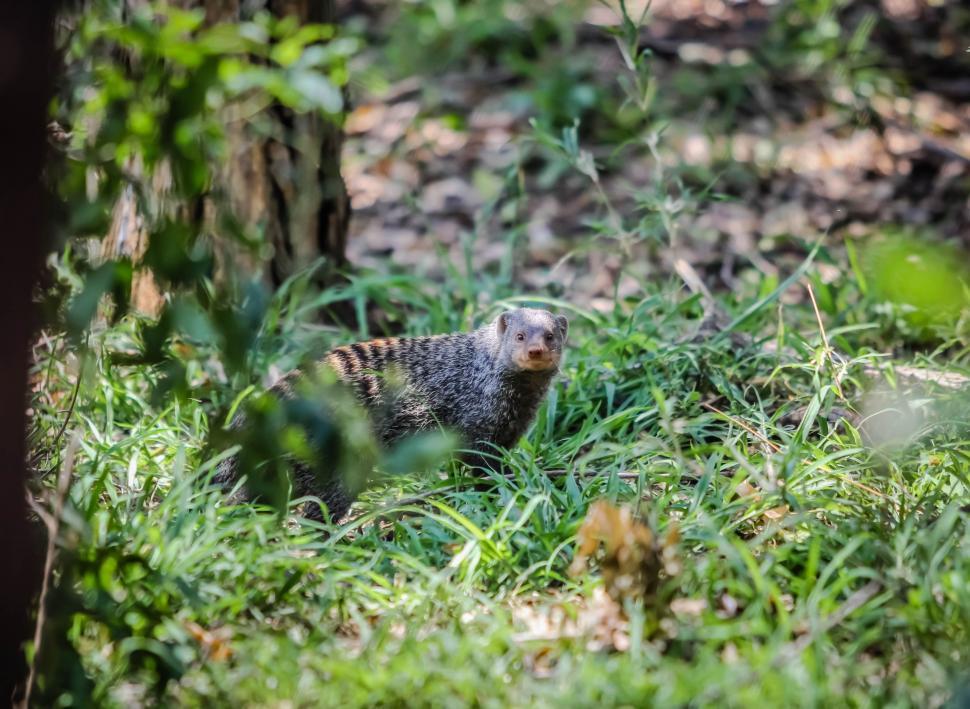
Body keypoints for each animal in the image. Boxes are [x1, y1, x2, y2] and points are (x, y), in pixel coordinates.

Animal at [216, 307, 569, 521]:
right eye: (519, 336)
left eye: (550, 336)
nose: (535, 351)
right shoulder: (474, 417)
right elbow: (476, 462)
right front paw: (494, 491)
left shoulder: (507, 428)